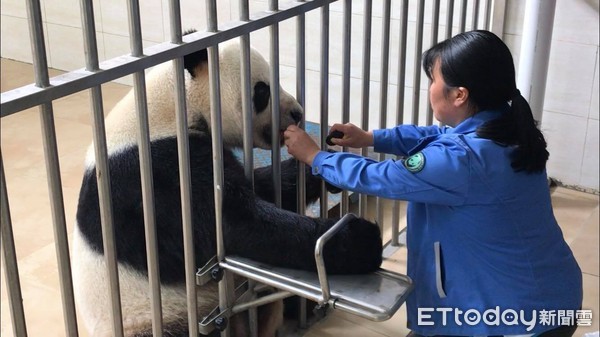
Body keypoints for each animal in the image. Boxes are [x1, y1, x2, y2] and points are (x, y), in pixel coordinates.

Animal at [72, 36, 382, 336]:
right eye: (262, 91)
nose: (297, 113)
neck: (173, 104)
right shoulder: (155, 175)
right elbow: (234, 224)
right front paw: (363, 240)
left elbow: (262, 190)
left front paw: (323, 168)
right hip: (159, 316)